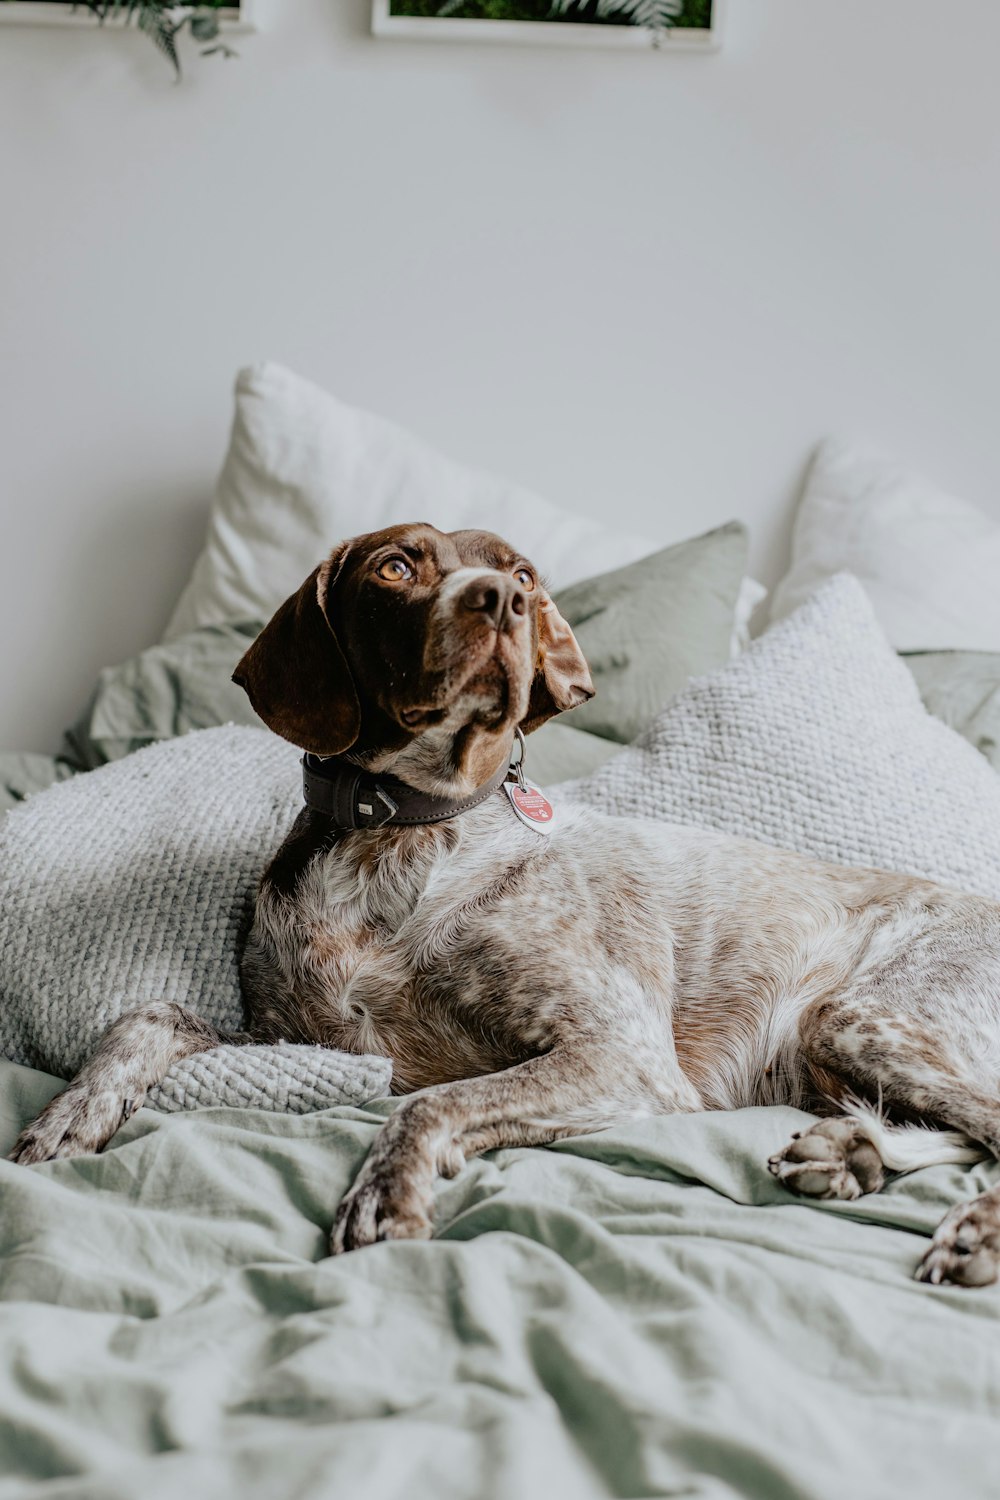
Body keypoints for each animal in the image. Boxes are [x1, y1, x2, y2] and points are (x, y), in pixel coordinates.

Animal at [11, 522, 1000, 1284]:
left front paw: (385, 1194)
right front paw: (66, 1117)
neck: (396, 836)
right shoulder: (304, 1040)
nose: (501, 601)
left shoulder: (623, 1056)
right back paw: (851, 1154)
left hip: (854, 1016)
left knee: (988, 1128)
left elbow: (427, 1105)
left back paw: (969, 1228)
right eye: (395, 566)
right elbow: (149, 1015)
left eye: (521, 573)